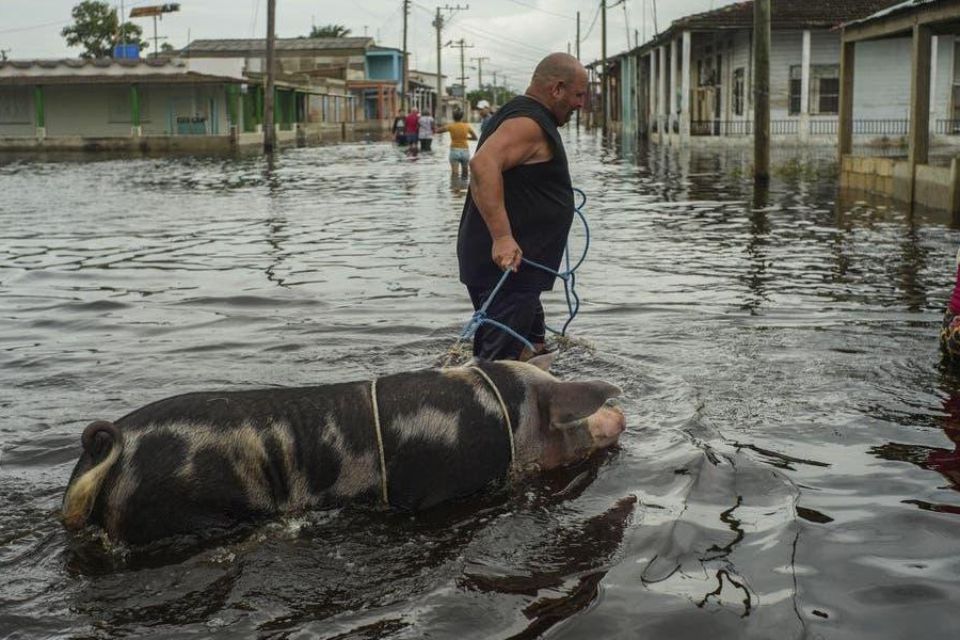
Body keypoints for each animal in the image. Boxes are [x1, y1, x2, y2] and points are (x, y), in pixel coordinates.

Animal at [63, 356, 628, 544]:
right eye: (568, 415)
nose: (620, 413)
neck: (503, 414)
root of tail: (111, 448)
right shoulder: (436, 493)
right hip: (179, 512)